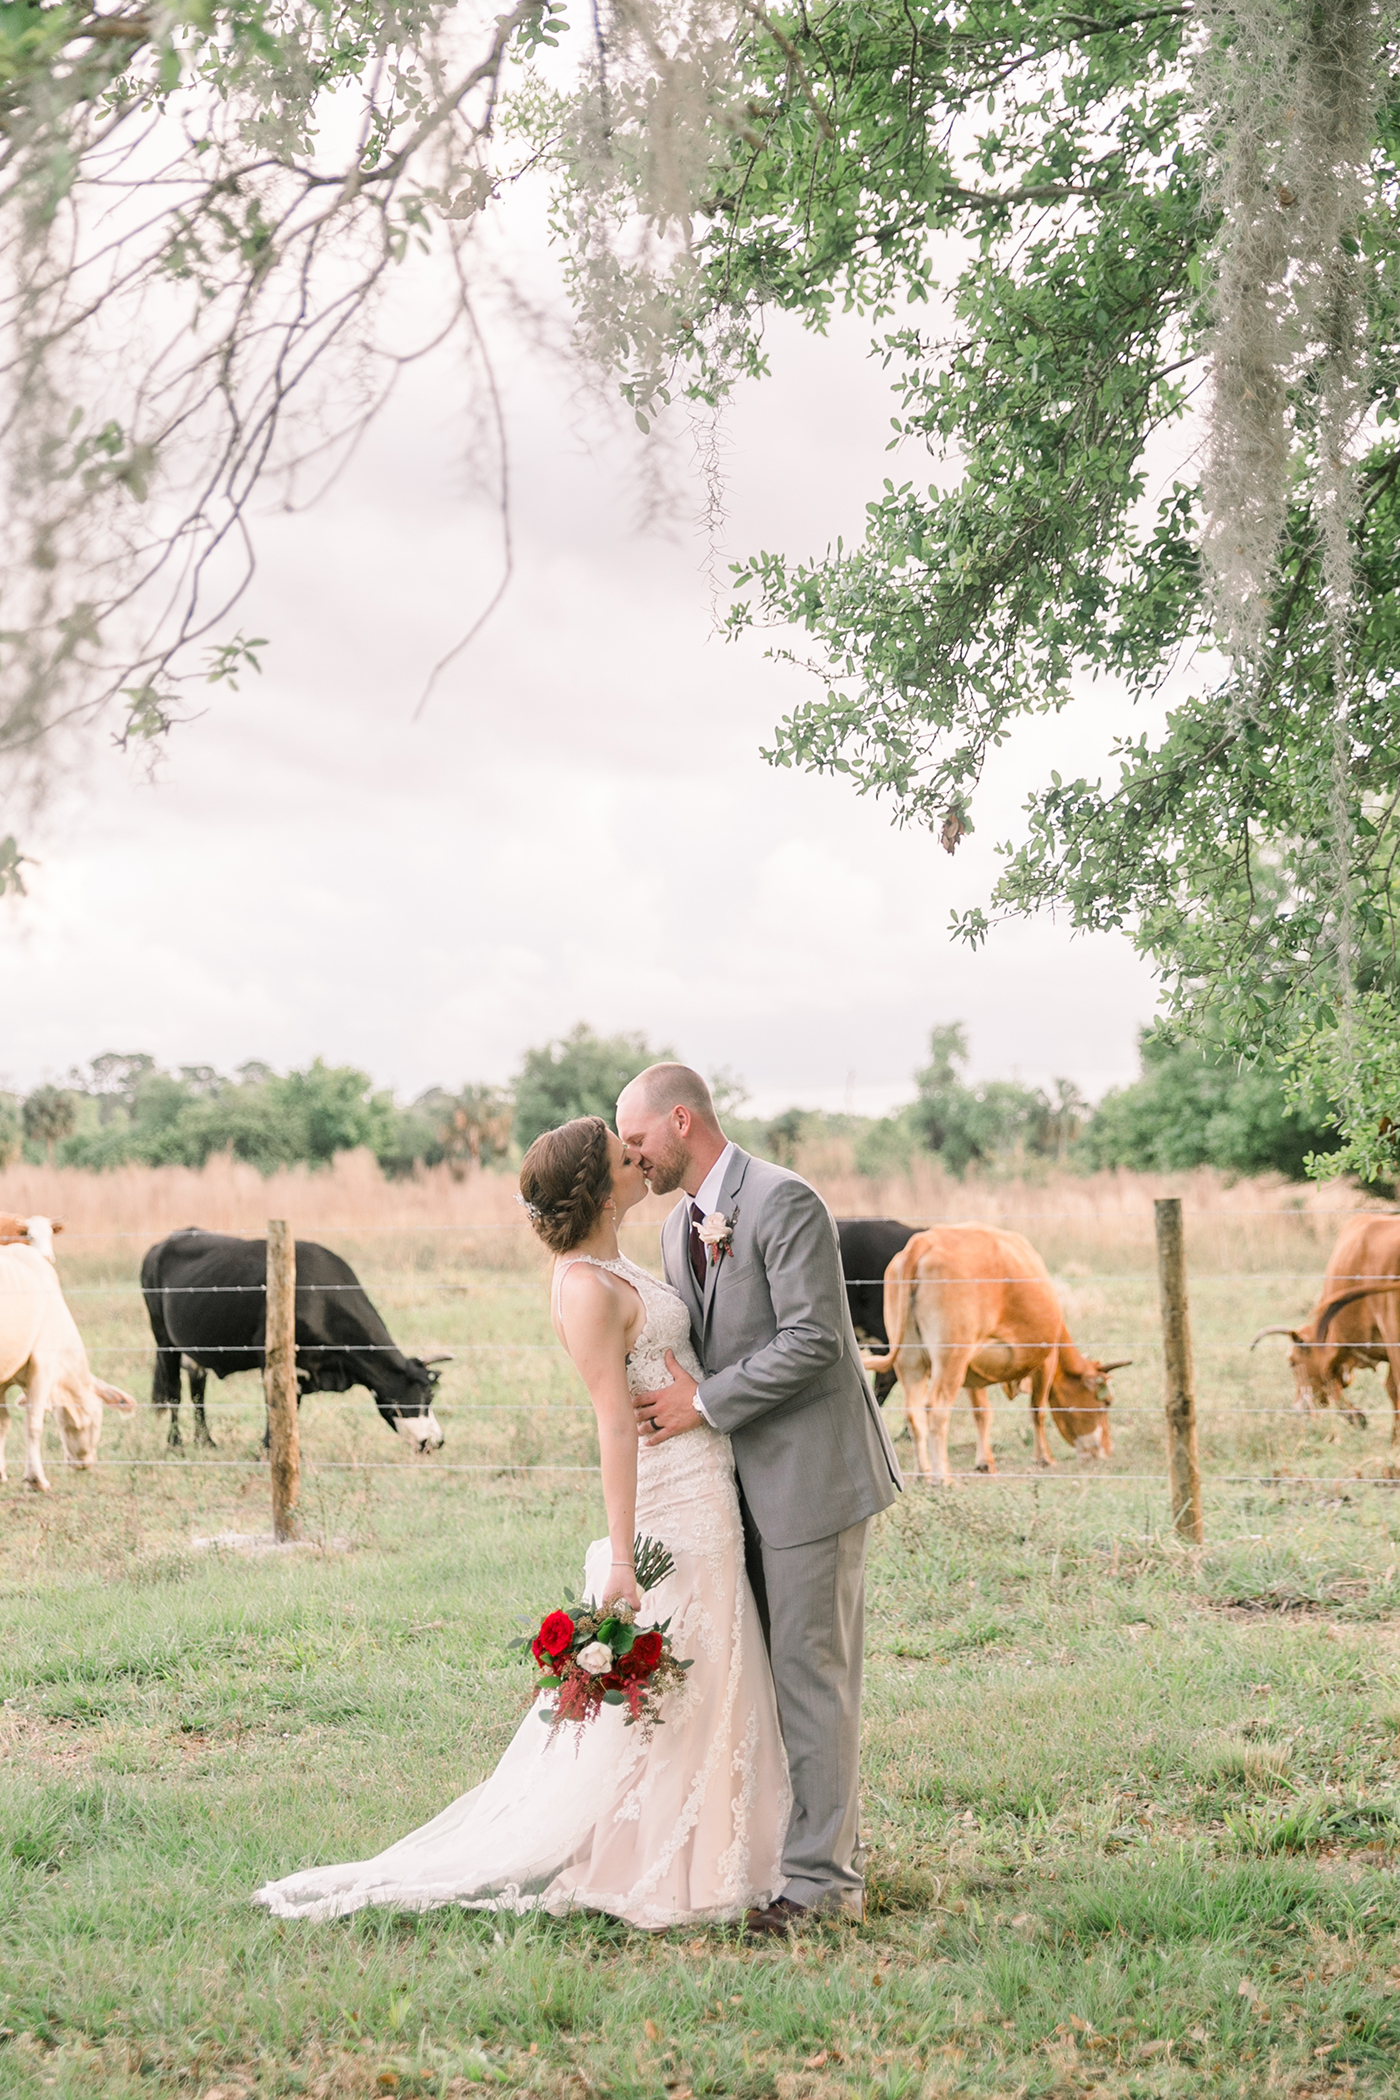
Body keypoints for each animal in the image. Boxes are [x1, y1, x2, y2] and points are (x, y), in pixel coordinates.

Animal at [0, 1218, 136, 1495]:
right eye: (98, 1418)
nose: (85, 1463)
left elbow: (2, 1425)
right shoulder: (42, 1365)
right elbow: (33, 1424)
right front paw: (36, 1479)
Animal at [141, 1226, 449, 1453]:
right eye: (427, 1396)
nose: (437, 1441)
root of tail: (165, 1242)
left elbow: (293, 1407)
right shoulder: (271, 1358)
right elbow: (277, 1405)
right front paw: (269, 1449)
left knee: (198, 1390)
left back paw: (206, 1441)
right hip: (163, 1338)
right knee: (174, 1391)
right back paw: (175, 1444)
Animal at [860, 1226, 1133, 1486]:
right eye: (1106, 1403)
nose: (1106, 1451)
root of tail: (923, 1243)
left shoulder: (971, 1370)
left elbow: (982, 1413)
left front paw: (985, 1462)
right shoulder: (1046, 1359)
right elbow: (1038, 1409)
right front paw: (1044, 1457)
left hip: (910, 1361)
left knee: (913, 1413)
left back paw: (923, 1473)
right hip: (950, 1359)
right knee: (936, 1408)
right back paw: (942, 1478)